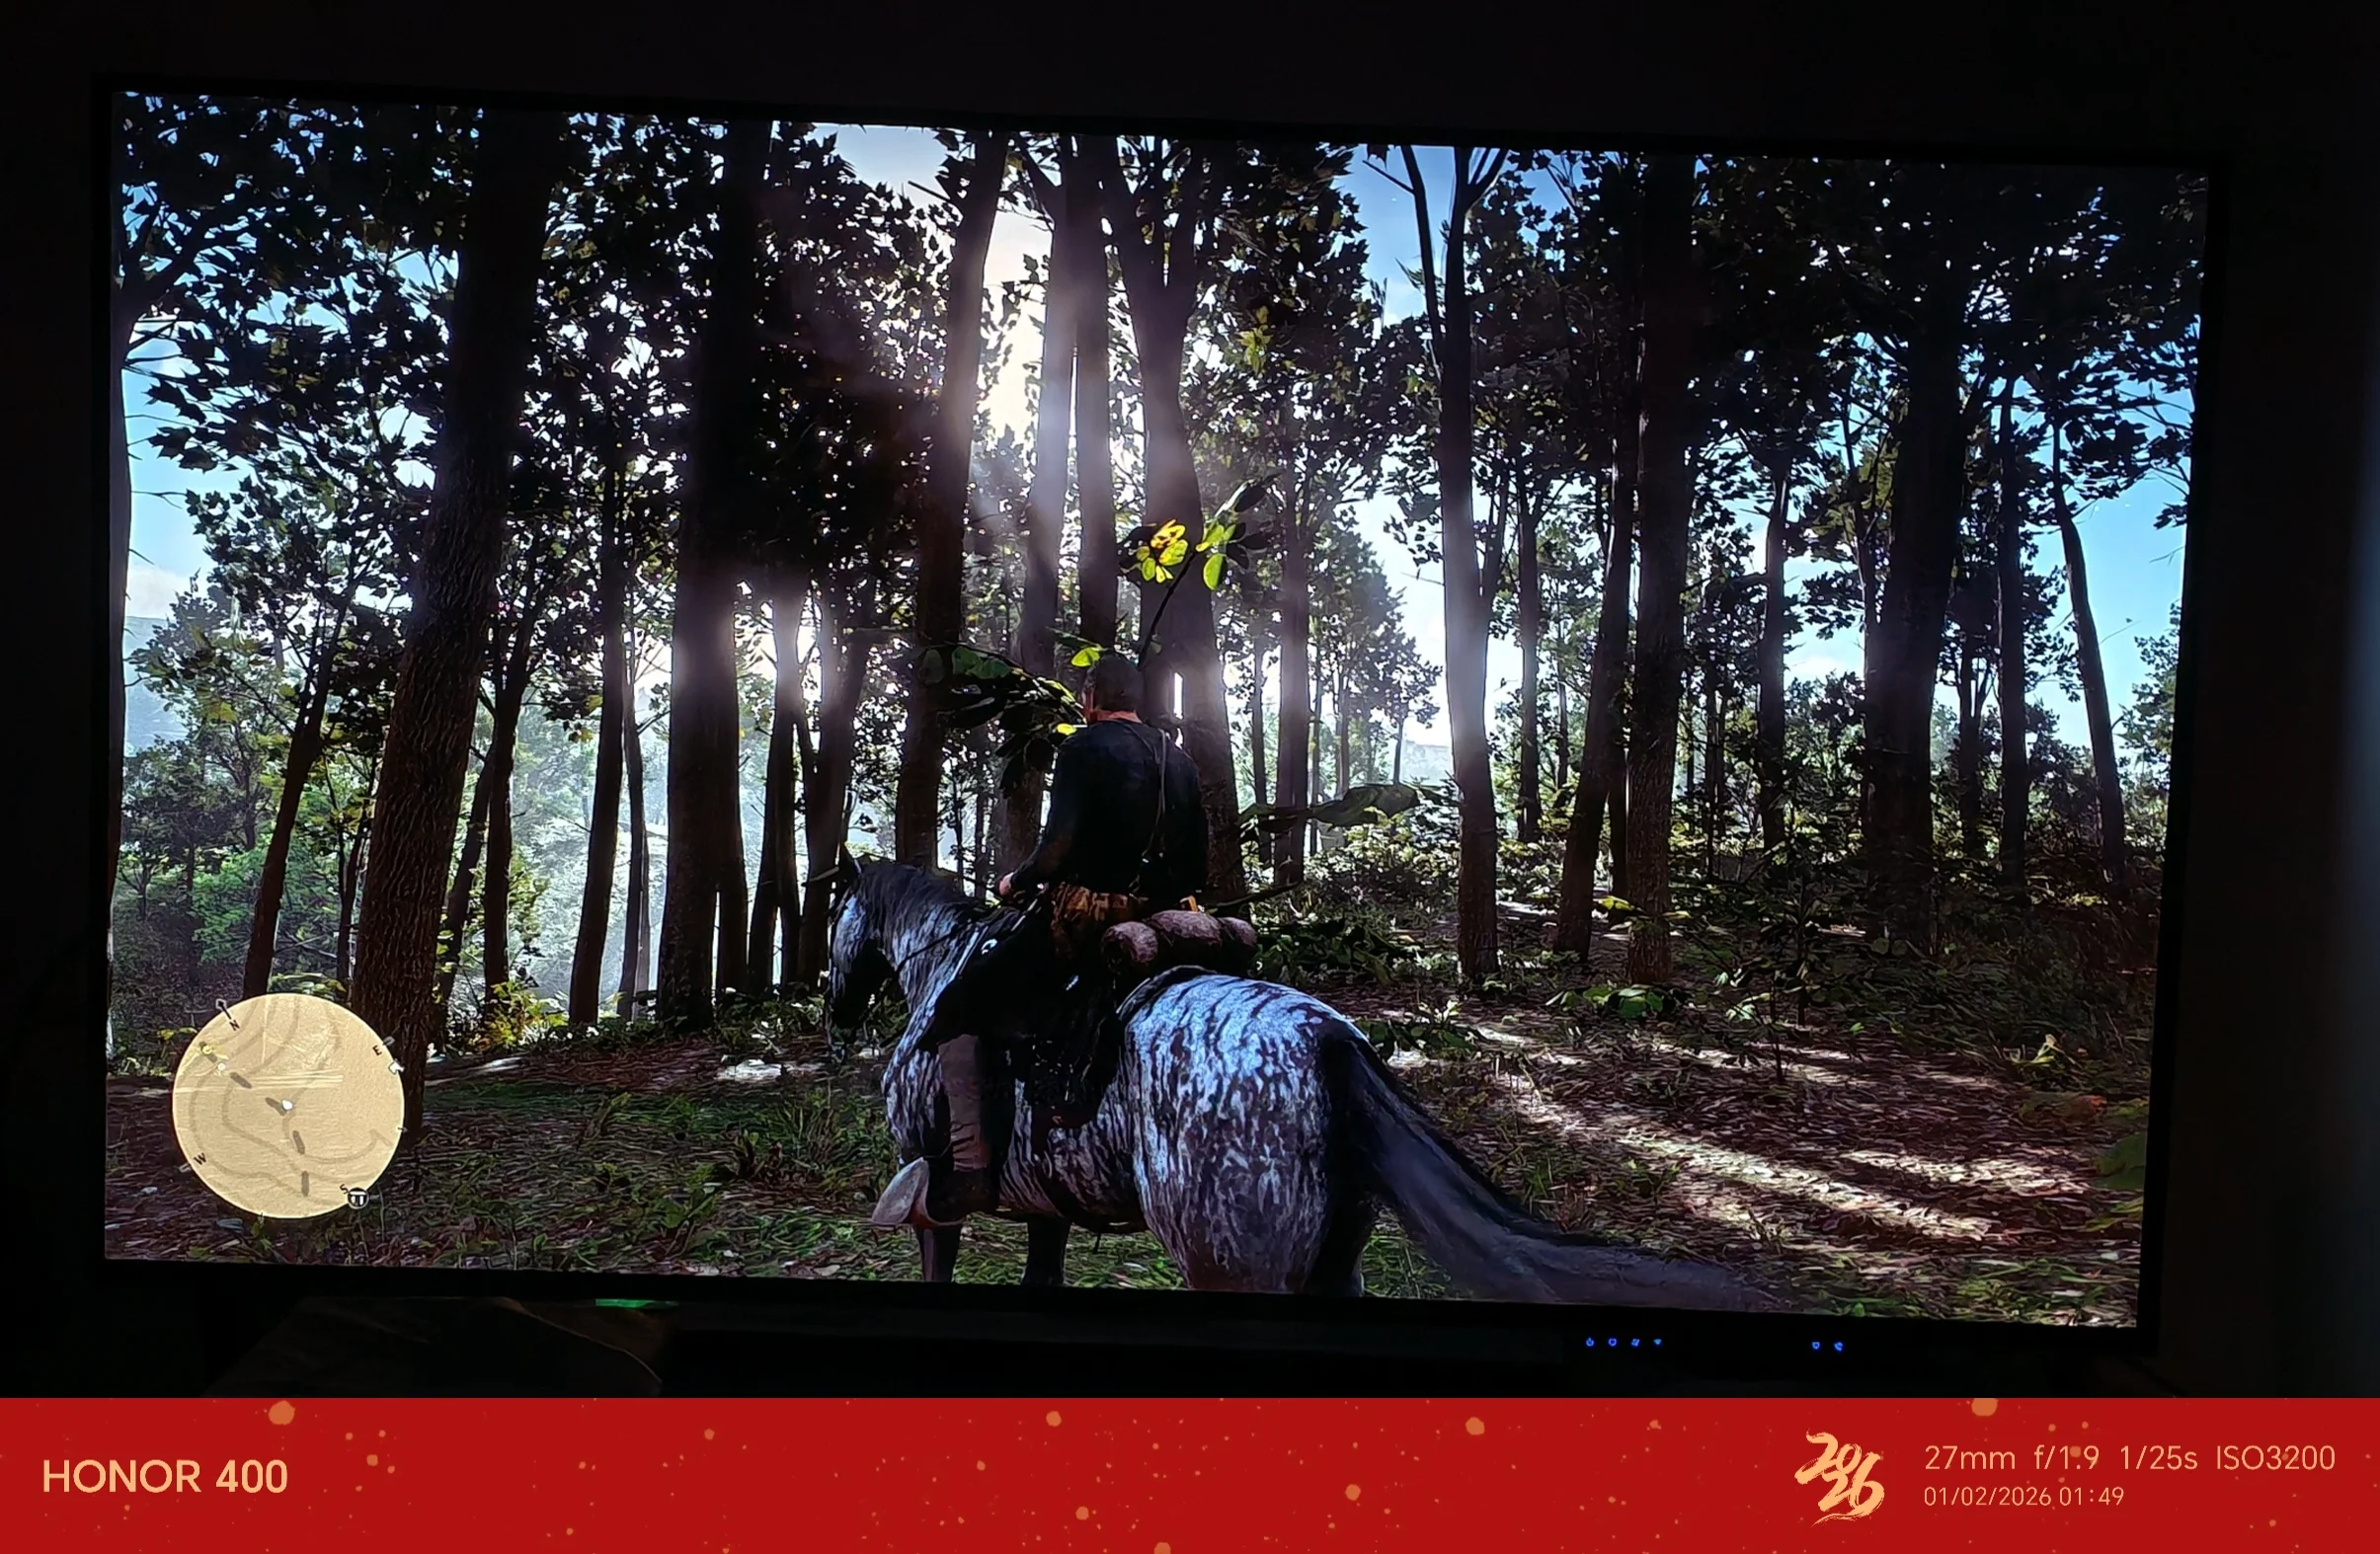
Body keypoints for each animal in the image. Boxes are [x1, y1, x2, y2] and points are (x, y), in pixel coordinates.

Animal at [825, 859, 1779, 1310]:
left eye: (833, 914)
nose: (835, 1012)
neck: (942, 966)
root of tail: (1329, 1043)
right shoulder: (1046, 1209)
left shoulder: (934, 1199)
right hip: (1329, 1260)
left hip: (1232, 1265)